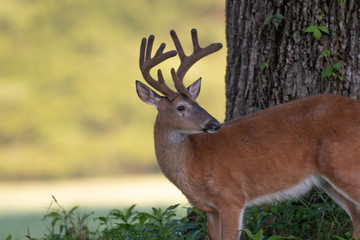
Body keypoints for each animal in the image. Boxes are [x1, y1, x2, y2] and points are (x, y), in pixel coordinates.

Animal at [134, 28, 360, 240]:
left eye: (195, 102)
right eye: (181, 107)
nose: (214, 123)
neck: (194, 160)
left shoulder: (231, 197)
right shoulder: (211, 209)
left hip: (343, 164)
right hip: (327, 179)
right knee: (356, 216)